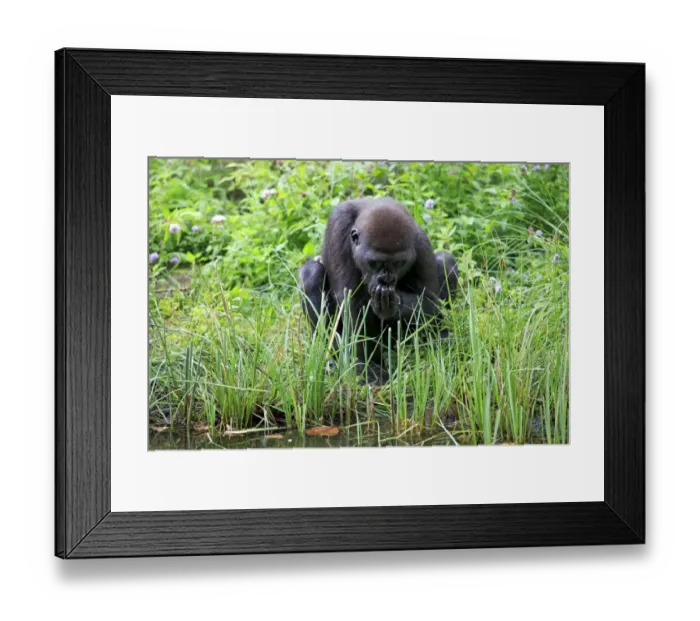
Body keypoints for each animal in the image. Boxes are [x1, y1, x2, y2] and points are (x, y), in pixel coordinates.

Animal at [298, 198, 459, 383]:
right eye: (375, 263)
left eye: (398, 263)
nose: (386, 279)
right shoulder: (338, 226)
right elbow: (353, 302)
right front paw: (367, 368)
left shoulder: (420, 242)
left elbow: (432, 303)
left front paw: (394, 304)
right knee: (311, 273)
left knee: (446, 261)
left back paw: (441, 339)